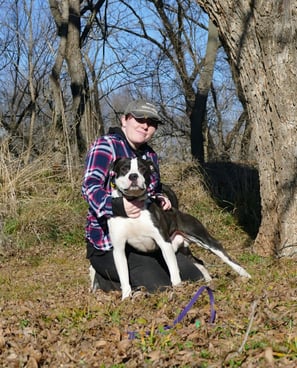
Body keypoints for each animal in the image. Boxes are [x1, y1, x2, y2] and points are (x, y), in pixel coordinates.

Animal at [90, 156, 250, 300]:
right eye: (124, 168)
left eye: (142, 169)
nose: (133, 176)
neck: (134, 205)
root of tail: (175, 210)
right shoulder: (119, 250)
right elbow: (124, 277)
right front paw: (126, 298)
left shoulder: (163, 242)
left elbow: (174, 271)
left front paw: (178, 290)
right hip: (182, 249)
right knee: (199, 262)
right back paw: (209, 281)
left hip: (202, 238)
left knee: (224, 256)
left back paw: (245, 274)